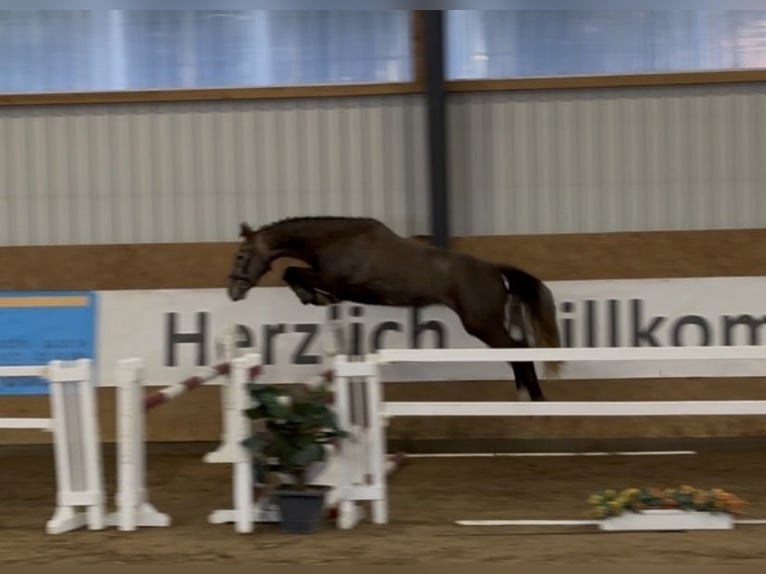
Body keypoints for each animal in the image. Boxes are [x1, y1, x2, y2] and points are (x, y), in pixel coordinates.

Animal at [226, 216, 562, 401]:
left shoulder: (336, 281)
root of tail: (493, 269)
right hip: (486, 324)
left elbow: (292, 272)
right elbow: (293, 272)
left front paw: (312, 296)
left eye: (242, 255)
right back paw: (527, 395)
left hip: (481, 323)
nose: (233, 292)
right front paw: (317, 298)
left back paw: (532, 396)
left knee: (518, 349)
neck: (335, 240)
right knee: (516, 350)